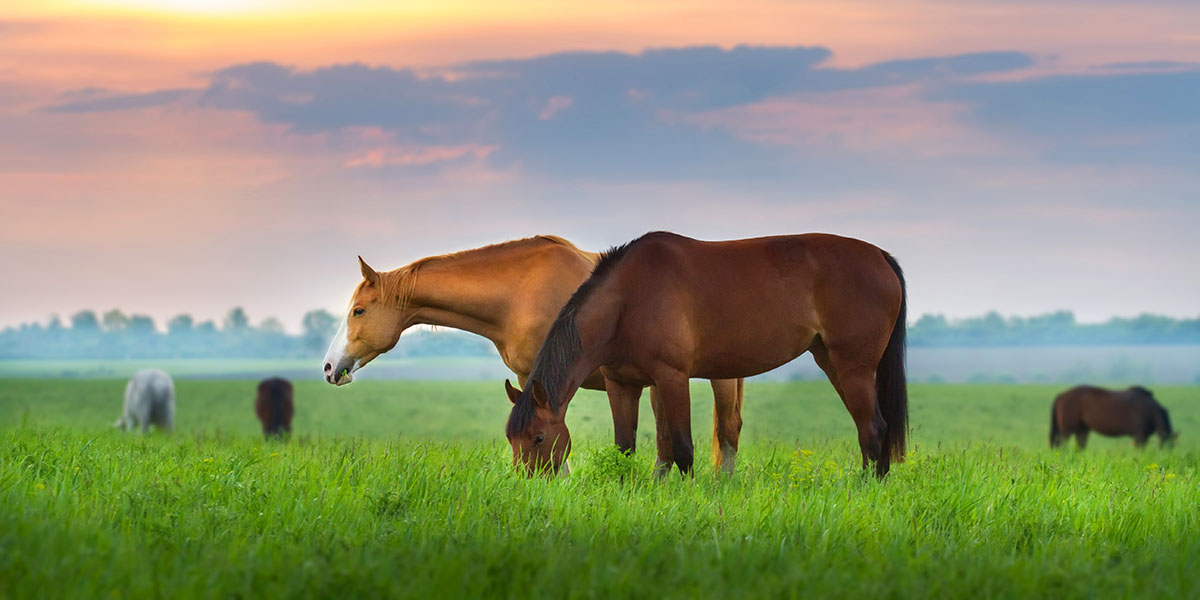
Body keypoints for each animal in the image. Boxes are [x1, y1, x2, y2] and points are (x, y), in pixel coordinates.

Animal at [324, 234, 744, 472]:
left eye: (358, 311)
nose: (330, 367)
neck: (518, 291)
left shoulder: (545, 378)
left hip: (715, 376)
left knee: (727, 431)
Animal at [506, 230, 907, 477]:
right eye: (512, 438)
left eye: (538, 438)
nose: (528, 483)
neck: (627, 300)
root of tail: (880, 256)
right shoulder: (622, 385)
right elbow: (625, 448)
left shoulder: (671, 377)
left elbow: (682, 447)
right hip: (832, 363)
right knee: (871, 429)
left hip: (853, 368)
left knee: (873, 429)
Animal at [1051, 386, 1180, 448]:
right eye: (1168, 444)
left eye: (1172, 446)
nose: (1166, 454)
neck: (1151, 411)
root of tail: (1061, 395)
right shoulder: (1140, 436)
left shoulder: (1144, 436)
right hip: (1067, 430)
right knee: (1062, 445)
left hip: (1082, 429)